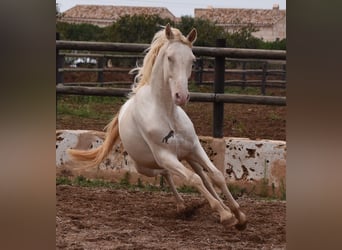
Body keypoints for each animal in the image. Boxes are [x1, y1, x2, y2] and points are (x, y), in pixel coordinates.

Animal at [69, 23, 246, 230]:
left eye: (192, 60)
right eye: (170, 57)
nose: (181, 96)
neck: (167, 114)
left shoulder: (195, 147)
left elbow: (216, 175)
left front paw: (239, 215)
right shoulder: (165, 156)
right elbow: (191, 179)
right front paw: (225, 215)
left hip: (188, 156)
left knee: (204, 177)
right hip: (145, 167)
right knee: (170, 174)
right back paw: (184, 207)